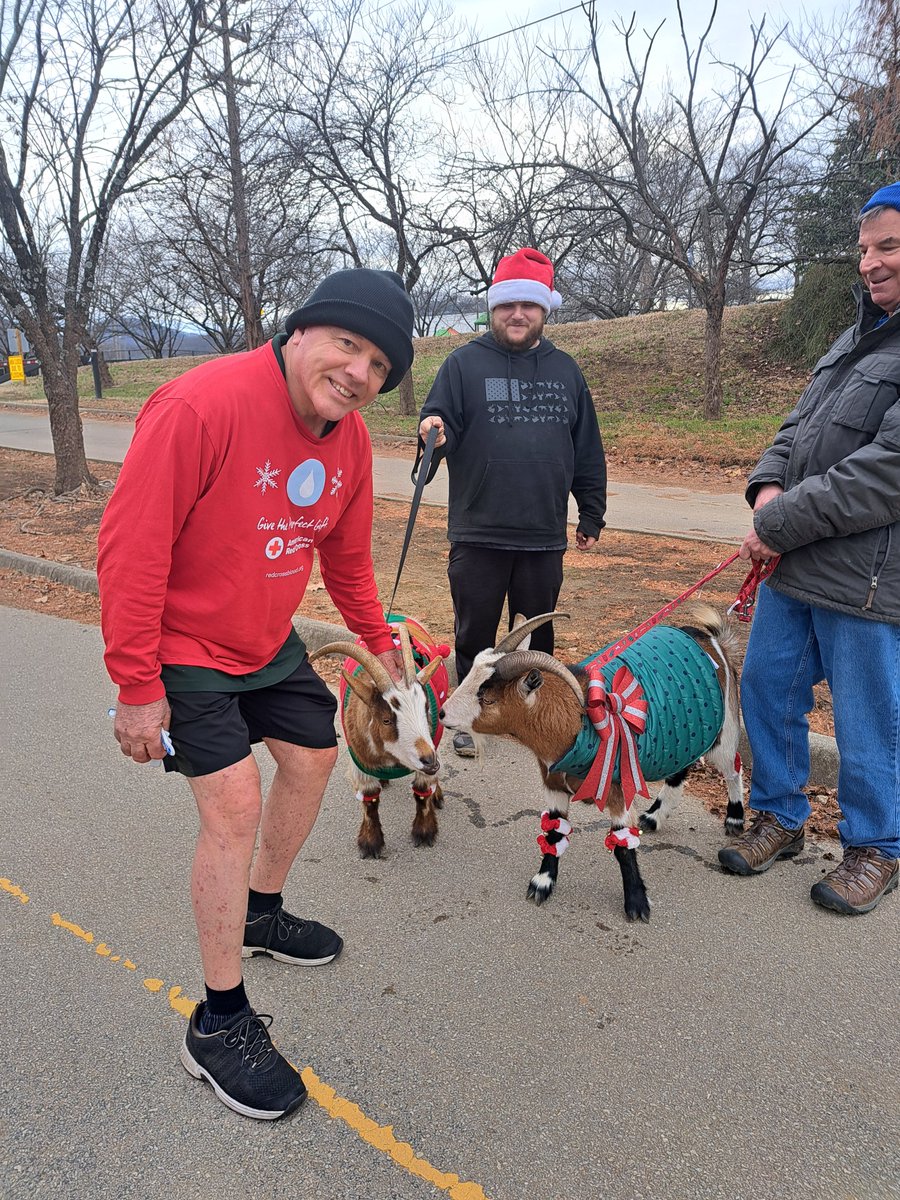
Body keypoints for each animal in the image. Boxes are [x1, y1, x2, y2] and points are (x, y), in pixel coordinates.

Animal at [309, 619, 449, 858]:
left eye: (426, 709)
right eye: (386, 720)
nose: (430, 760)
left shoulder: (432, 744)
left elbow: (423, 791)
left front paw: (424, 833)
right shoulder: (360, 759)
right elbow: (370, 799)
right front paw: (370, 843)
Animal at [439, 604, 744, 921]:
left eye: (487, 699)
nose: (443, 714)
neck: (574, 725)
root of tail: (712, 641)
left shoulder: (618, 786)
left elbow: (622, 845)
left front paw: (637, 904)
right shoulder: (554, 782)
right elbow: (554, 831)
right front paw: (543, 883)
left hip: (723, 729)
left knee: (733, 768)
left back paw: (734, 819)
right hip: (684, 735)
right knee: (680, 769)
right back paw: (654, 817)